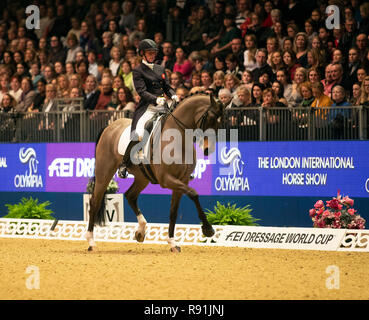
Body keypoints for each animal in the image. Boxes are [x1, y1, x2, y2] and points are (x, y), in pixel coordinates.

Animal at [85, 92, 224, 252]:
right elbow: (194, 194)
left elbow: (174, 211)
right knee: (94, 202)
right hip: (104, 172)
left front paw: (173, 243)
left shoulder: (182, 180)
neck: (179, 138)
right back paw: (91, 242)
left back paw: (140, 231)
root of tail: (109, 127)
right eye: (211, 118)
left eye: (221, 121)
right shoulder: (166, 179)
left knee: (130, 196)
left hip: (142, 177)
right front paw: (208, 229)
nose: (208, 149)